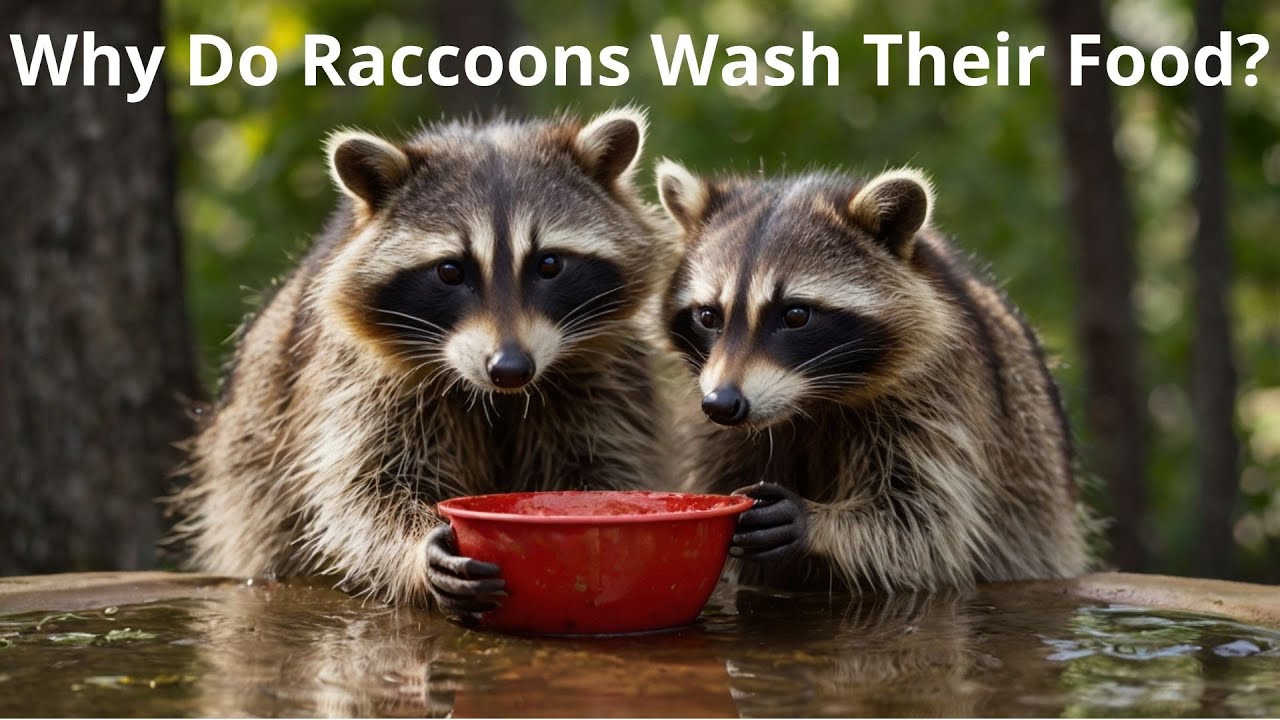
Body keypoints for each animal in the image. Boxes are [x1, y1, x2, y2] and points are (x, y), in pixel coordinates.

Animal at [169, 108, 674, 613]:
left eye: (549, 264)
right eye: (450, 271)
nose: (509, 369)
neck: (495, 395)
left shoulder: (606, 372)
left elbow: (601, 458)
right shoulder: (359, 380)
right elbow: (366, 485)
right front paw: (416, 548)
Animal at [655, 162, 1088, 592]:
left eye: (795, 315)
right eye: (708, 316)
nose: (722, 404)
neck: (809, 401)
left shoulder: (941, 397)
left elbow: (928, 527)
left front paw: (819, 523)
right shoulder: (718, 431)